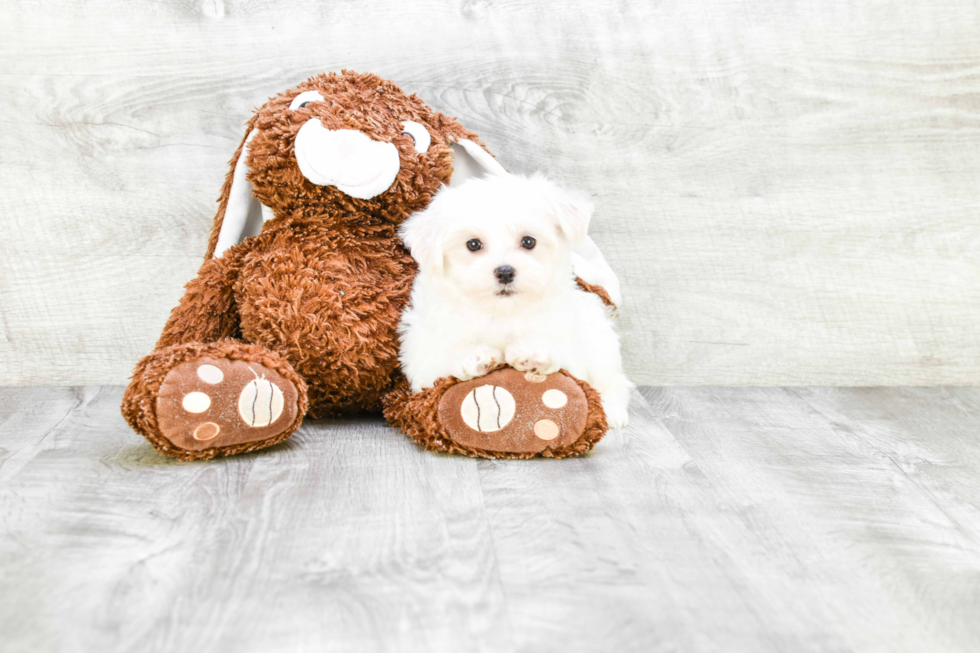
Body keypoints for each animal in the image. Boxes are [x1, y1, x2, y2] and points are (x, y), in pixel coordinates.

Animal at [400, 173, 636, 428]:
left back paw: (612, 410)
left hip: (598, 336)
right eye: (473, 244)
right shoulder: (422, 355)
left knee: (613, 381)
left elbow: (566, 361)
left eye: (528, 242)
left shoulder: (569, 342)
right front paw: (474, 356)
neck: (503, 311)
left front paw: (532, 352)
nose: (505, 272)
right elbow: (438, 364)